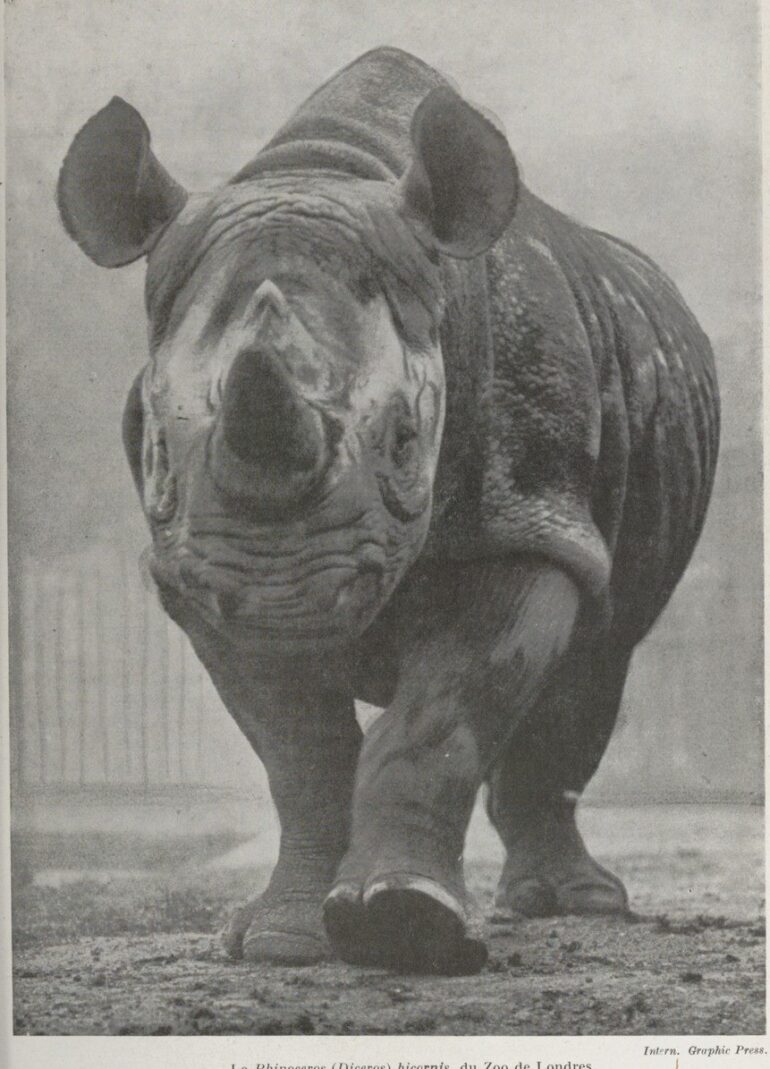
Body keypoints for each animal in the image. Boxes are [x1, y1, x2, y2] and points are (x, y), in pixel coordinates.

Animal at [57, 47, 719, 974]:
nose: (285, 601)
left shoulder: (525, 520)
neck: (325, 173)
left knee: (599, 649)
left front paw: (408, 925)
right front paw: (284, 940)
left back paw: (573, 905)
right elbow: (298, 750)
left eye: (408, 442)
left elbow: (441, 716)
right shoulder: (198, 572)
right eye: (157, 451)